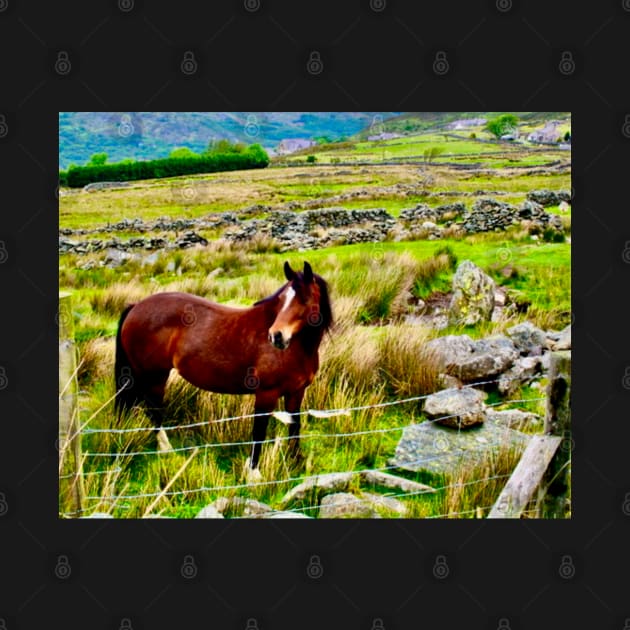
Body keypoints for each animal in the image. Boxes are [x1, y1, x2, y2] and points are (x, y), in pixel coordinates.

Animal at [114, 260, 334, 472]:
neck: (298, 347)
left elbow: (294, 427)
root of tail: (135, 306)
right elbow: (259, 432)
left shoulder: (296, 393)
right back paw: (166, 449)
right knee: (152, 409)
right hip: (154, 377)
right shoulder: (266, 394)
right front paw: (254, 473)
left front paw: (296, 462)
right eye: (281, 301)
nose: (276, 336)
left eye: (305, 299)